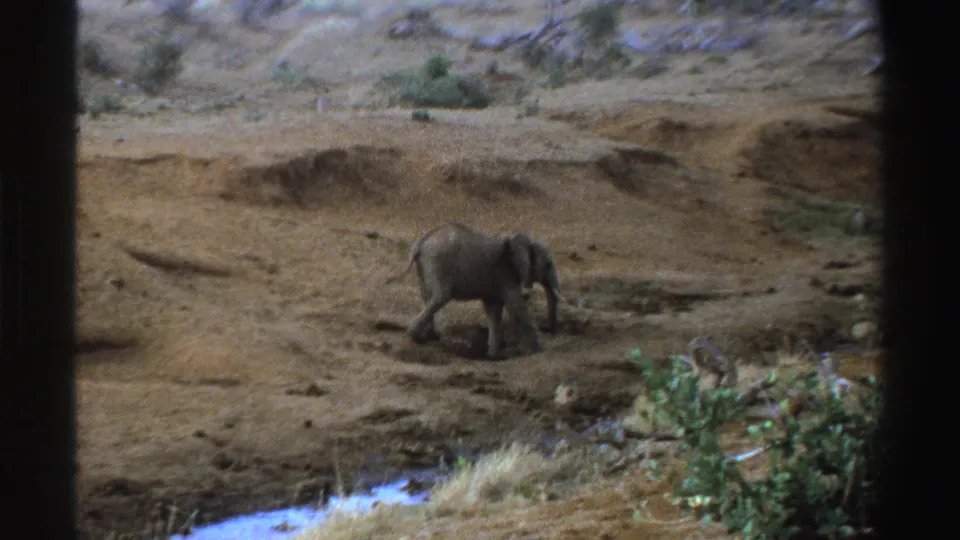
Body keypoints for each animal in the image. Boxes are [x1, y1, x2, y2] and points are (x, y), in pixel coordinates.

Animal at [385, 222, 565, 358]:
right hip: (439, 263)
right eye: (548, 264)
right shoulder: (506, 274)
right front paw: (540, 350)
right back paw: (414, 336)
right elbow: (516, 307)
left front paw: (493, 356)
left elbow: (493, 309)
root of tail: (421, 243)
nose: (549, 330)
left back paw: (428, 338)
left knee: (428, 297)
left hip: (423, 267)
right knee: (440, 297)